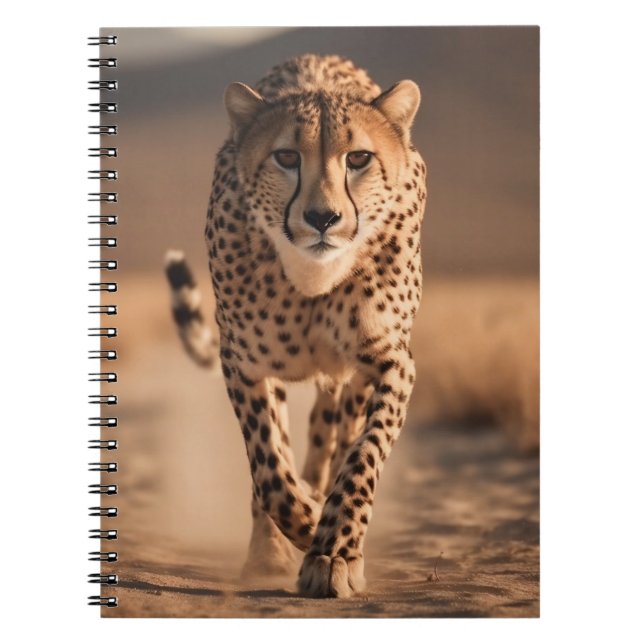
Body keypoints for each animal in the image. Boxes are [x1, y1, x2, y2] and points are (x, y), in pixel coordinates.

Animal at [165, 53, 427, 598]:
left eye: (358, 158)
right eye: (286, 157)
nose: (323, 217)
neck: (313, 278)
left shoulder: (392, 364)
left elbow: (362, 457)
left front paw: (336, 550)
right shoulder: (244, 364)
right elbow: (269, 469)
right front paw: (304, 524)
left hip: (348, 380)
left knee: (333, 436)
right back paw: (270, 548)